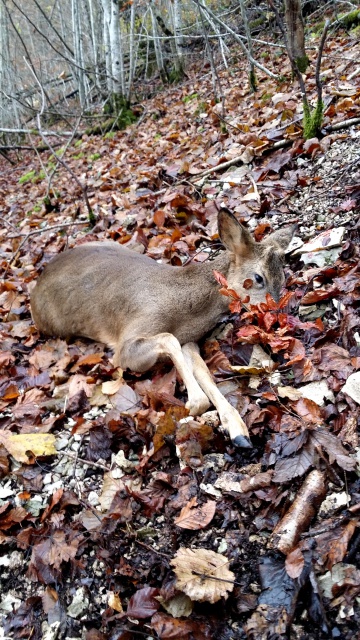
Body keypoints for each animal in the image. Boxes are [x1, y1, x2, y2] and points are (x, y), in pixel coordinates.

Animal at [31, 211, 296, 450]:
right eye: (259, 278)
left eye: (283, 279)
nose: (278, 318)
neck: (186, 312)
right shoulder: (127, 343)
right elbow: (169, 340)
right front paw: (195, 403)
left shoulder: (190, 340)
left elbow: (203, 370)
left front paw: (238, 430)